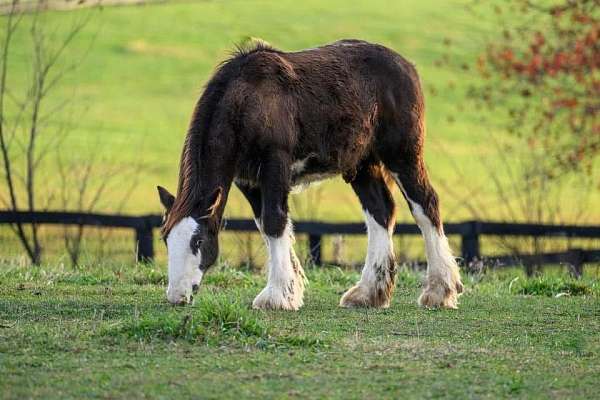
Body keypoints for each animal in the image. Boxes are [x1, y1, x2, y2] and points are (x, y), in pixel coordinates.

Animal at [156, 38, 464, 310]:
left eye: (198, 241)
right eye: (166, 239)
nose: (176, 296)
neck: (246, 101)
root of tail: (407, 66)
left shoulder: (275, 165)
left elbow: (274, 222)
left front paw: (276, 297)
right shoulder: (248, 180)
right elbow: (266, 226)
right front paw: (291, 290)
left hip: (402, 156)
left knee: (425, 205)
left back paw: (440, 291)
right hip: (362, 165)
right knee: (381, 212)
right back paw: (368, 294)